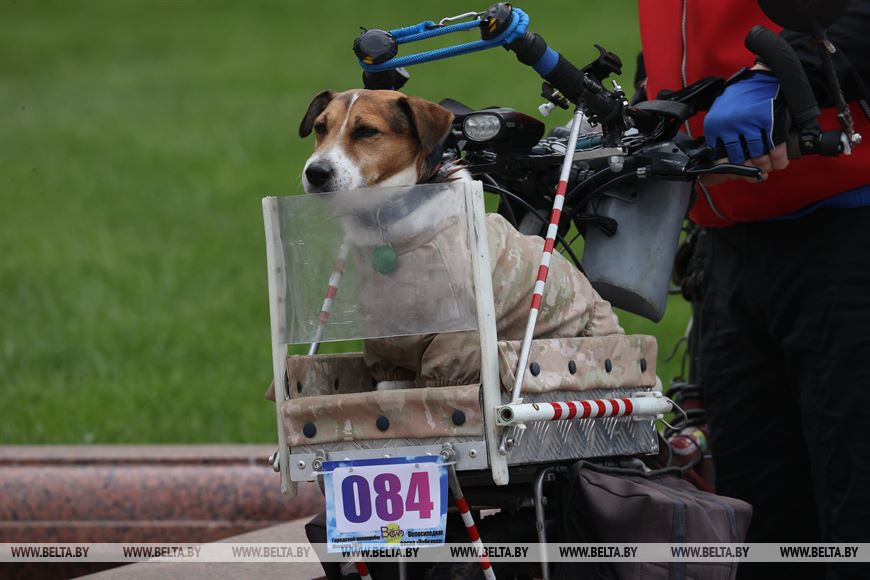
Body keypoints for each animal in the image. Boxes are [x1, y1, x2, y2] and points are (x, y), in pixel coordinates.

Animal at [299, 89, 623, 389]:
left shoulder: (455, 348)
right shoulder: (388, 348)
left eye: (367, 131)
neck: (387, 225)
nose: (315, 172)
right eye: (320, 127)